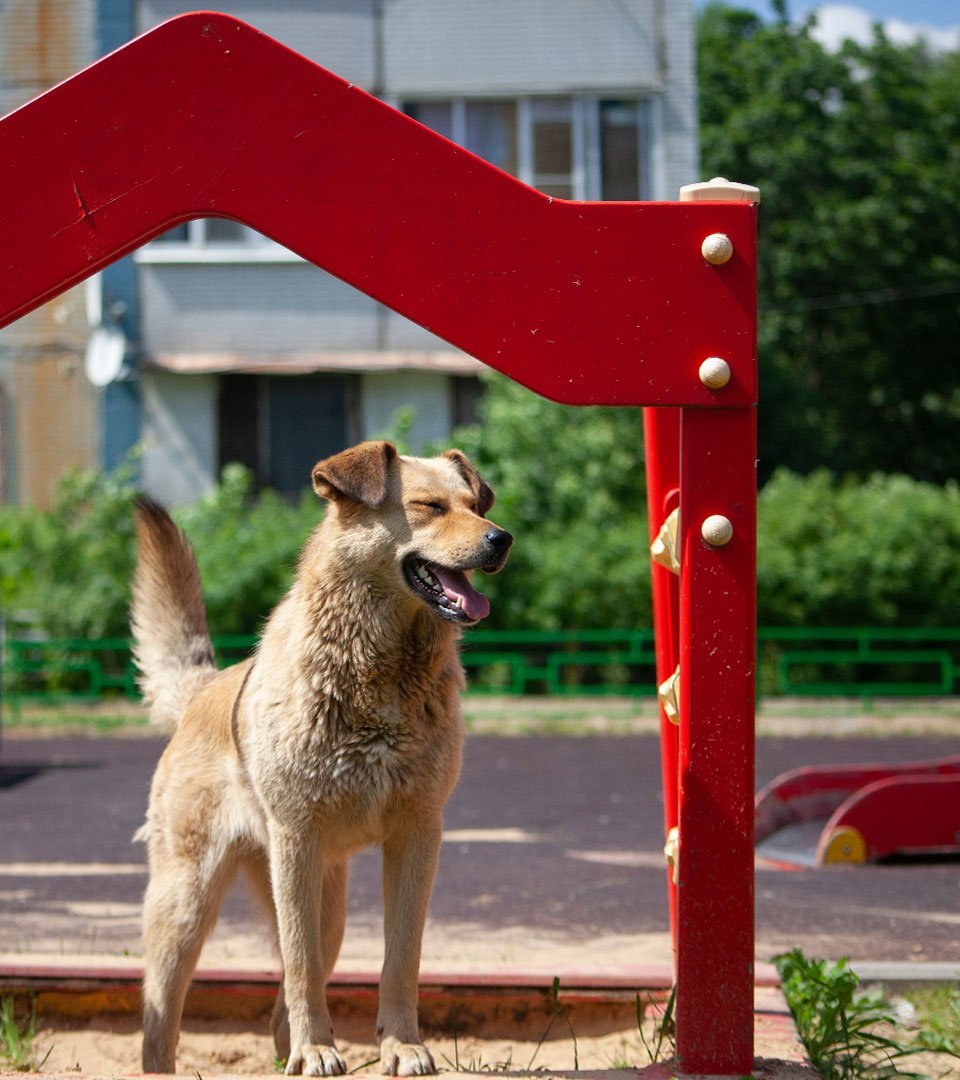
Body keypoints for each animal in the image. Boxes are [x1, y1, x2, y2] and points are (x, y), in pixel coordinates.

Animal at [132, 442, 516, 1075]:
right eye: (429, 507)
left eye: (475, 504)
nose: (502, 539)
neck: (382, 671)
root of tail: (204, 688)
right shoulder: (296, 842)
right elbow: (302, 968)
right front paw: (318, 1049)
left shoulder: (418, 835)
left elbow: (401, 959)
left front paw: (401, 1046)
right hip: (187, 905)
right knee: (163, 1017)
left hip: (326, 910)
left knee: (279, 1009)